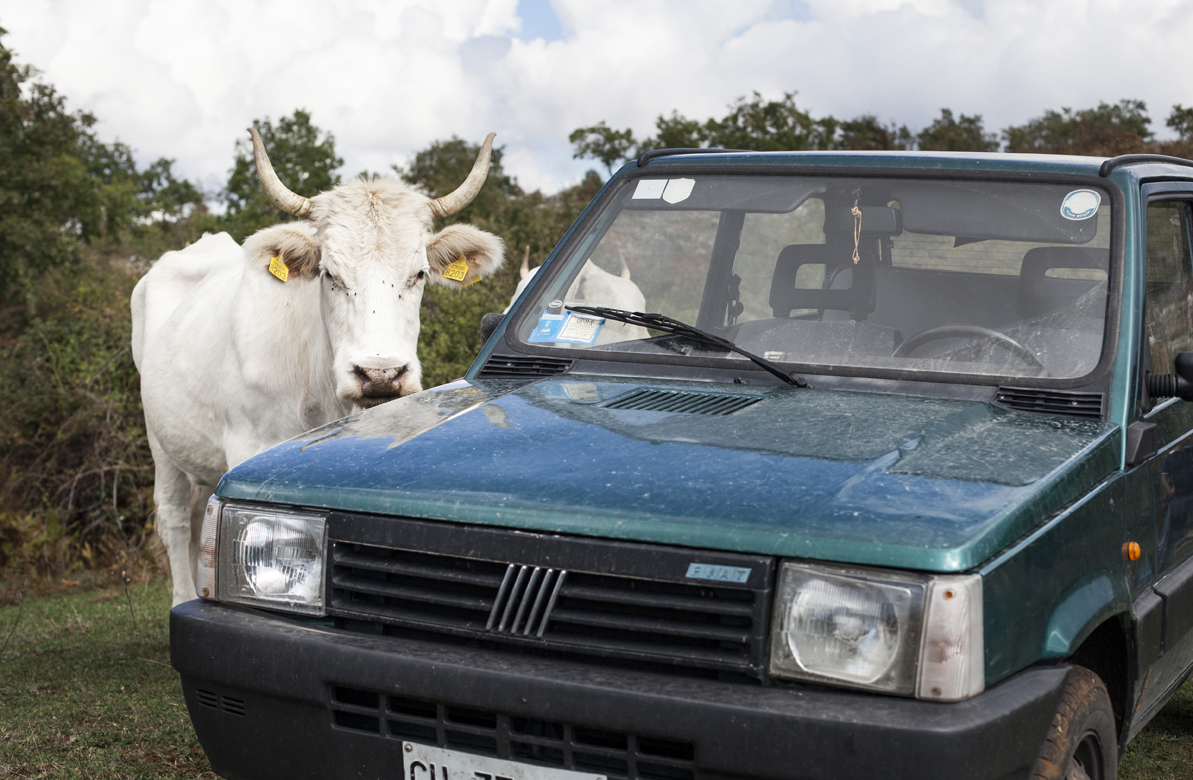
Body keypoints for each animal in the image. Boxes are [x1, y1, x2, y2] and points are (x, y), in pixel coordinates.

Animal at [137, 131, 505, 608]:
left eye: (420, 274)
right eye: (330, 273)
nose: (381, 373)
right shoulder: (247, 446)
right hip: (159, 440)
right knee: (176, 520)